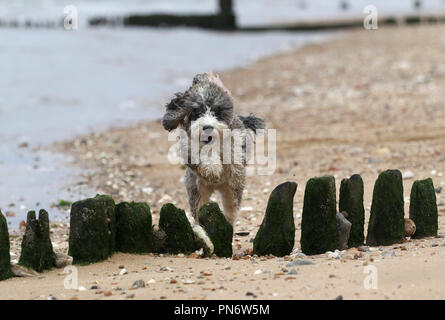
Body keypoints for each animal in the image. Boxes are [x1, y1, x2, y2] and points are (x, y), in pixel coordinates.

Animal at [162, 72, 264, 225]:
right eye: (196, 112)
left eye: (217, 111)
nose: (208, 127)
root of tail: (217, 187)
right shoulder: (189, 148)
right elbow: (201, 155)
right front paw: (212, 169)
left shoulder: (238, 139)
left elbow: (234, 153)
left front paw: (235, 173)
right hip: (197, 191)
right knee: (199, 210)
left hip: (229, 194)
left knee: (231, 208)